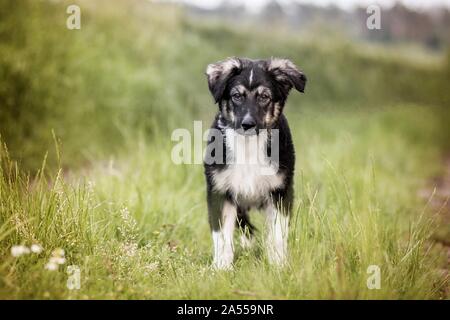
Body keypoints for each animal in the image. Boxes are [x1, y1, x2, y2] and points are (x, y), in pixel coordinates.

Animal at [204, 57, 306, 270]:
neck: (248, 147)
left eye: (264, 97)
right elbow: (222, 237)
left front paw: (279, 265)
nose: (247, 124)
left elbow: (277, 234)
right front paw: (221, 268)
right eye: (236, 96)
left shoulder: (280, 191)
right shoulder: (220, 190)